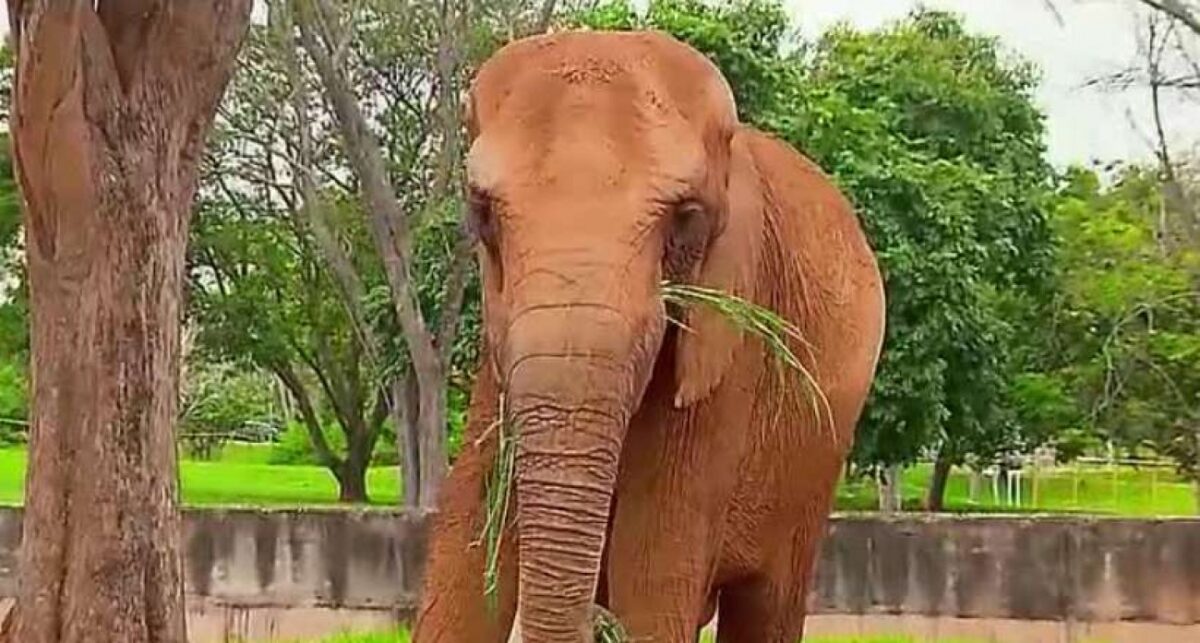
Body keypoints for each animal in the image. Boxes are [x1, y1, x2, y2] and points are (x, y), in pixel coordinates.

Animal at [414, 29, 885, 643]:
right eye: (482, 214)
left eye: (686, 217)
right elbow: (463, 555)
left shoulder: (727, 351)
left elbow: (652, 581)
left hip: (813, 467)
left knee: (767, 603)